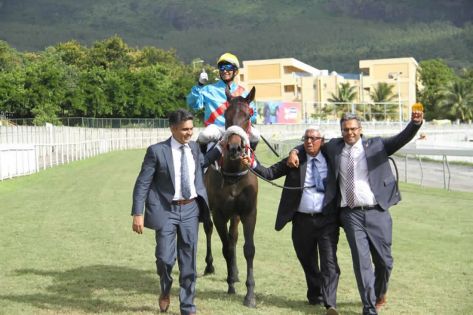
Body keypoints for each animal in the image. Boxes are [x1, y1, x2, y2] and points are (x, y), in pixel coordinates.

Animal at [200, 86, 256, 308]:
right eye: (226, 114)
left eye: (248, 115)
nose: (234, 148)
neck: (234, 174)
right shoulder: (219, 213)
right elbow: (225, 248)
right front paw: (230, 283)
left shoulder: (248, 212)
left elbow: (247, 248)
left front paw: (250, 294)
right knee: (208, 229)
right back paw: (210, 266)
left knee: (234, 238)